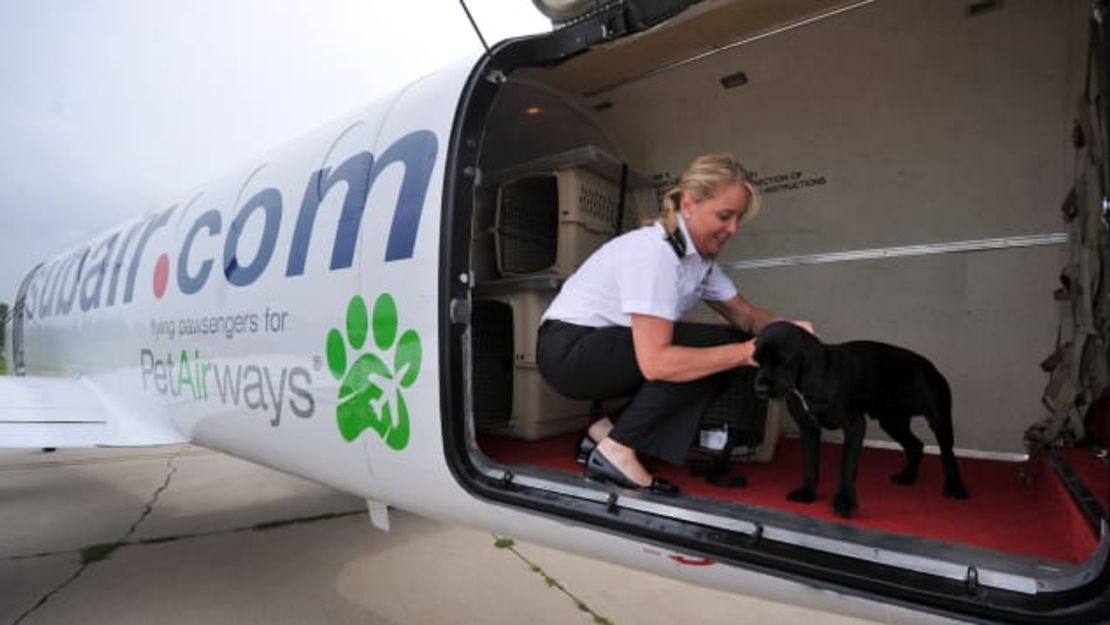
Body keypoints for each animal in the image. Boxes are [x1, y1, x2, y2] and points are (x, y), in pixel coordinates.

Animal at [750, 321, 967, 519]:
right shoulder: (808, 429)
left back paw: (955, 487)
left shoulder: (854, 425)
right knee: (915, 445)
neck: (807, 380)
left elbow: (847, 466)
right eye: (757, 362)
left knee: (947, 454)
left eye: (782, 361)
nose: (759, 389)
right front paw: (808, 493)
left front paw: (844, 502)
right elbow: (811, 465)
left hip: (938, 420)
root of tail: (929, 366)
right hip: (892, 422)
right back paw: (908, 477)